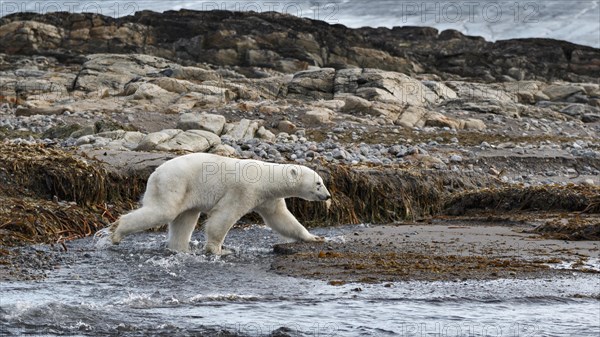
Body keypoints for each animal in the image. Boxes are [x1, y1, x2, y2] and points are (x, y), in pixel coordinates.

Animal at [110, 151, 330, 253]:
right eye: (318, 183)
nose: (328, 196)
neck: (267, 178)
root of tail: (155, 173)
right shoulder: (244, 189)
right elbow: (224, 216)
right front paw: (217, 250)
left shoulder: (268, 198)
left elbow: (282, 220)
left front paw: (314, 237)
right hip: (174, 183)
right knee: (164, 211)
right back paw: (116, 233)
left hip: (186, 192)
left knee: (184, 219)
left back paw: (180, 249)